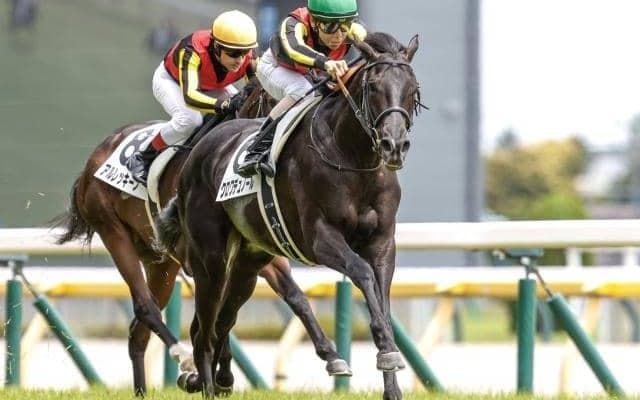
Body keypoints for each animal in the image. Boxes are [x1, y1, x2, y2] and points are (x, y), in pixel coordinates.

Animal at [51, 78, 351, 396]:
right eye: (276, 99)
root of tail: (92, 162)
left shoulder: (256, 250)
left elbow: (294, 297)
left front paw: (331, 356)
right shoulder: (205, 255)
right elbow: (216, 315)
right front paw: (212, 376)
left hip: (161, 263)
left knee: (138, 331)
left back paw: (144, 389)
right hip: (113, 231)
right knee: (146, 307)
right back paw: (183, 359)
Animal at [156, 32, 422, 399]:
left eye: (413, 88)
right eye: (373, 86)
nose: (393, 145)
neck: (353, 159)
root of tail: (197, 151)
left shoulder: (382, 242)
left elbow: (380, 294)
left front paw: (391, 375)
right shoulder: (320, 238)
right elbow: (362, 273)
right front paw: (383, 350)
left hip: (249, 263)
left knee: (220, 322)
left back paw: (208, 379)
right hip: (209, 258)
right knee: (204, 331)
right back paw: (205, 382)